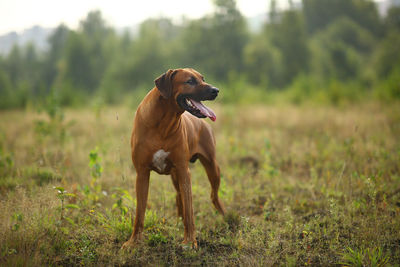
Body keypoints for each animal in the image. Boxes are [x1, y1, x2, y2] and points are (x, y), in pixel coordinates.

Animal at [122, 68, 227, 250]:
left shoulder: (184, 170)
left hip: (212, 167)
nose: (216, 90)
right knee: (179, 197)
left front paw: (190, 241)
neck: (163, 124)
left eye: (202, 78)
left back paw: (225, 217)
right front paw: (133, 241)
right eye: (190, 81)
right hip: (175, 175)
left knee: (213, 196)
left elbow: (190, 210)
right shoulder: (141, 173)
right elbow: (139, 212)